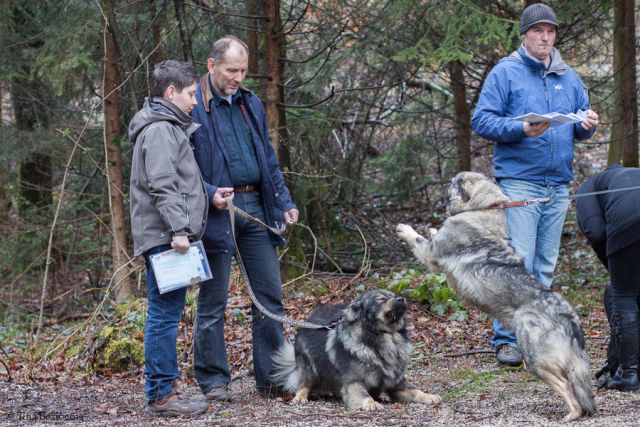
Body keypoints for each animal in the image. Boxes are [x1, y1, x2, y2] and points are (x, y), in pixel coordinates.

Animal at [268, 290, 440, 412]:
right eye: (380, 300)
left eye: (394, 295)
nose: (401, 299)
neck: (388, 337)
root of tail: (308, 319)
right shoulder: (354, 382)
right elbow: (364, 395)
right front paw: (372, 403)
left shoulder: (397, 385)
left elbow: (416, 391)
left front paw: (429, 396)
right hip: (309, 367)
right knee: (304, 383)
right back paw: (301, 397)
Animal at [396, 172, 596, 422]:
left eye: (453, 182)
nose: (442, 185)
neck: (482, 209)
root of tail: (568, 317)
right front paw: (430, 229)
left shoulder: (431, 253)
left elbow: (418, 239)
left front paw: (405, 229)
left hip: (535, 357)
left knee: (565, 386)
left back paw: (571, 414)